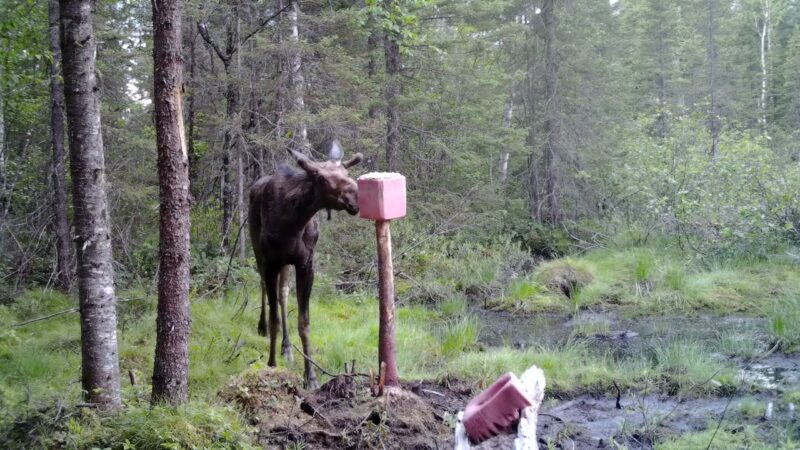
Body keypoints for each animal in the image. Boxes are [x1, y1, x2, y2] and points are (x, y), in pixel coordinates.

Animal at [248, 142, 364, 388]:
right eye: (319, 177)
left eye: (345, 171)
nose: (355, 196)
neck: (293, 223)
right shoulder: (271, 263)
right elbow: (274, 319)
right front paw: (271, 365)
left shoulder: (305, 264)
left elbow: (304, 322)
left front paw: (310, 376)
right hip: (259, 251)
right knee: (263, 286)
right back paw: (262, 326)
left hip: (285, 264)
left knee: (283, 294)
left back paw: (286, 347)